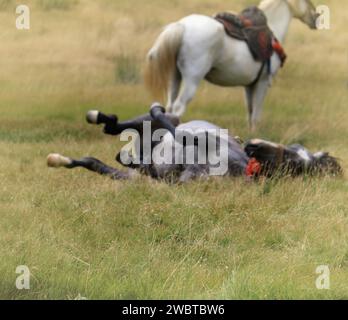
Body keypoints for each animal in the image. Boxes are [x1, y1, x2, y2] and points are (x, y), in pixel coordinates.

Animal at [143, 0, 318, 130]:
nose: (316, 17)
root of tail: (182, 26)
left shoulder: (249, 85)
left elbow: (250, 112)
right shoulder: (262, 83)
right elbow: (256, 115)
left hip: (175, 77)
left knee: (170, 107)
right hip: (192, 80)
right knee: (178, 108)